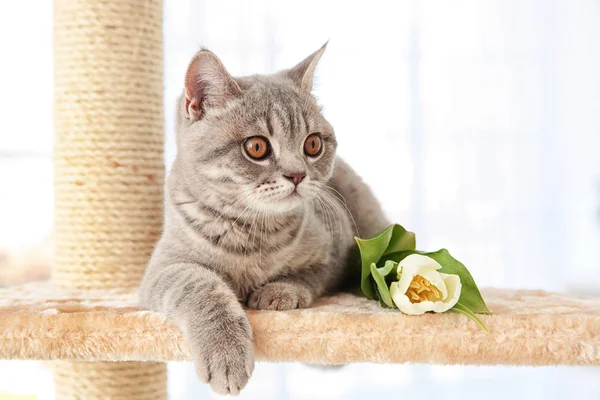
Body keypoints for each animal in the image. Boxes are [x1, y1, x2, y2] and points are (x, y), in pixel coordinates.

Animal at [138, 44, 386, 396]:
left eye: (313, 144)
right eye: (256, 147)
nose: (297, 174)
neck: (253, 232)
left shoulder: (335, 251)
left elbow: (312, 275)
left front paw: (280, 291)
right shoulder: (163, 268)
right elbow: (200, 285)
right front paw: (225, 352)